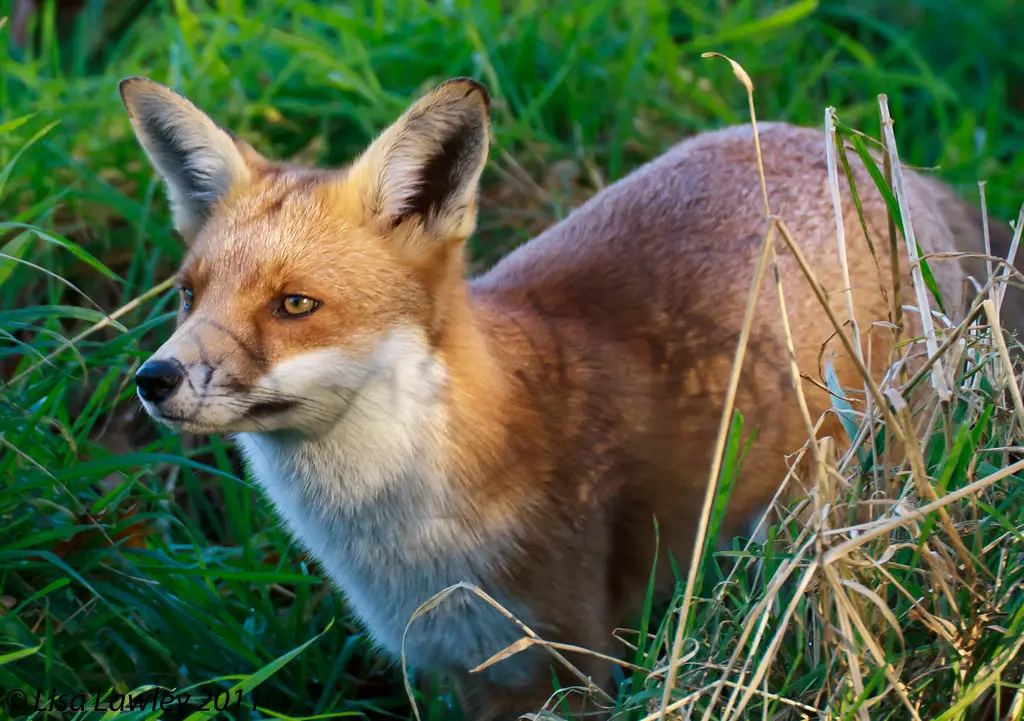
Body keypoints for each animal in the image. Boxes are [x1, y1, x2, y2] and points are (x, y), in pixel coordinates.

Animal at [121, 75, 1024, 716]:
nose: (153, 380)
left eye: (294, 304)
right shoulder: (468, 673)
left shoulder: (573, 659)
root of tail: (861, 150)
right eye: (188, 294)